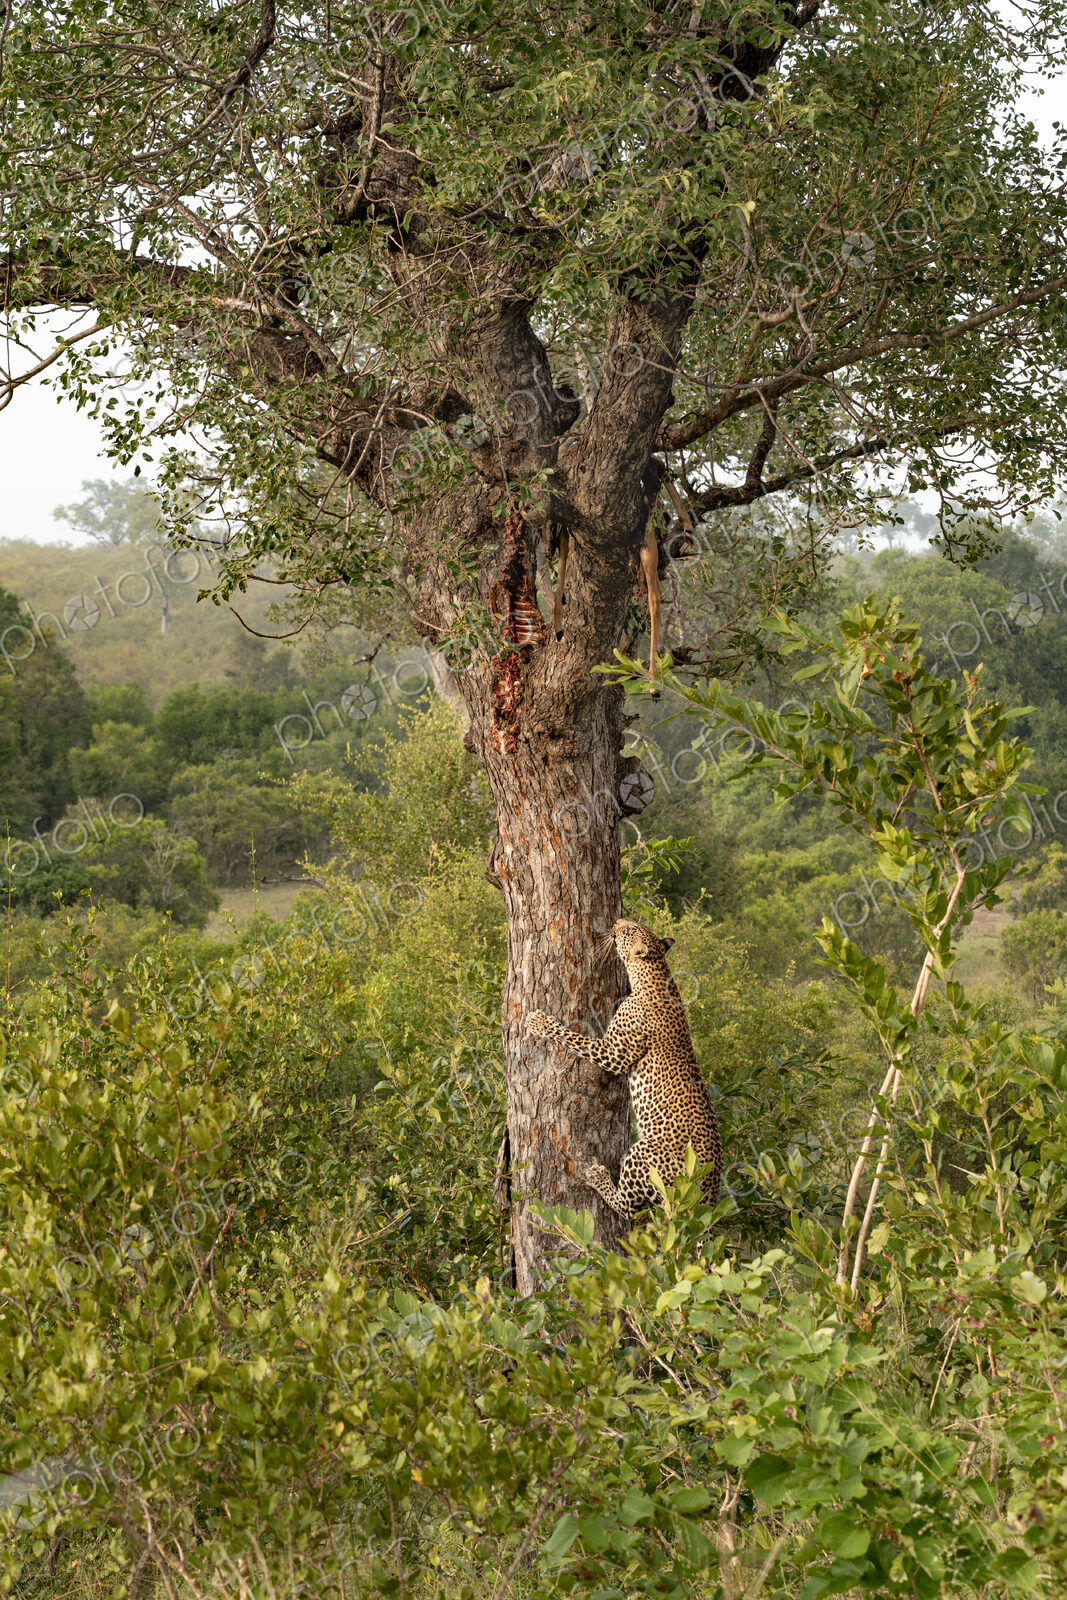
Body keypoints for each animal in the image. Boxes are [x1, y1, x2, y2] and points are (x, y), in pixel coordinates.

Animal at [525, 918, 722, 1219]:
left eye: (630, 930)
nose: (617, 921)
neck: (652, 974)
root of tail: (710, 1193)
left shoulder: (614, 1053)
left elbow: (575, 1039)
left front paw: (540, 1023)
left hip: (645, 1155)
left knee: (628, 1207)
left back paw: (599, 1178)